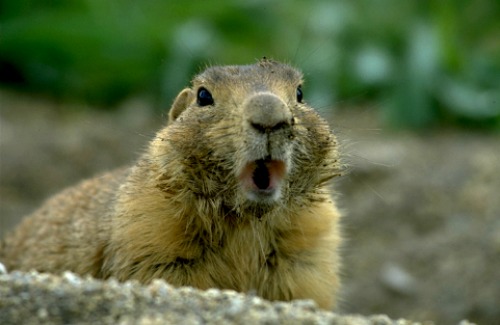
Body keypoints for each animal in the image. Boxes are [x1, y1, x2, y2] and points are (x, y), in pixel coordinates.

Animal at [0, 58, 342, 308]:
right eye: (203, 96)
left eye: (300, 93)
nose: (271, 118)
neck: (246, 222)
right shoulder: (148, 234)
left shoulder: (309, 253)